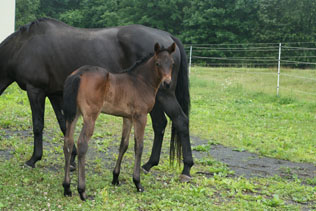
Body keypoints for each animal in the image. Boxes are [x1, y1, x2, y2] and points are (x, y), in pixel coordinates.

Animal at [0, 17, 193, 180]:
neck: (23, 47)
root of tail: (168, 37)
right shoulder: (54, 94)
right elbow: (64, 126)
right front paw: (72, 159)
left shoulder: (35, 90)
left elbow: (38, 125)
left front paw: (33, 159)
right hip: (153, 99)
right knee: (160, 124)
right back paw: (148, 165)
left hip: (164, 95)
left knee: (181, 121)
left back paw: (186, 169)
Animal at [61, 42, 175, 200]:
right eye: (157, 63)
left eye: (172, 63)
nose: (167, 83)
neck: (141, 82)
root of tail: (79, 74)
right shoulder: (141, 116)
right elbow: (138, 146)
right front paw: (137, 183)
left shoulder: (127, 118)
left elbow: (123, 145)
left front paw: (115, 178)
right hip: (90, 116)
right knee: (82, 144)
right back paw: (82, 191)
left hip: (73, 115)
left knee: (68, 142)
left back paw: (67, 188)